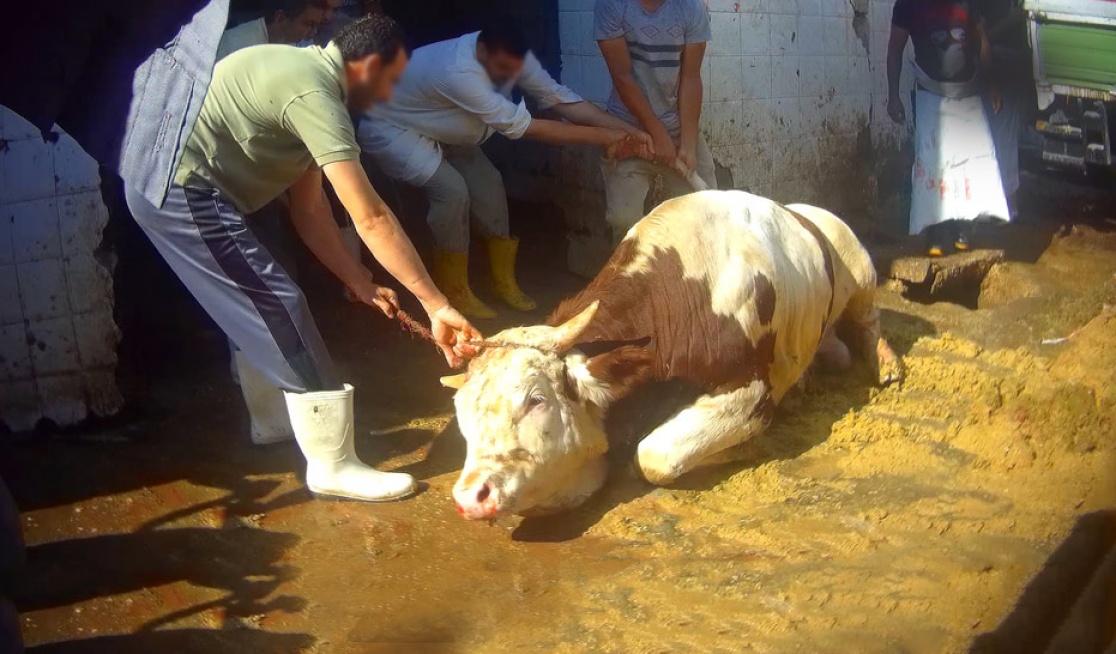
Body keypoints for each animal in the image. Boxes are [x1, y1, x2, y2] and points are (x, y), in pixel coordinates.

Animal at [439, 189, 901, 520]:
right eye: (461, 414)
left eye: (535, 400)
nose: (470, 496)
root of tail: (805, 209)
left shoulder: (750, 391)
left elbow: (653, 456)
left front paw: (743, 448)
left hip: (861, 274)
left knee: (869, 321)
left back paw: (887, 365)